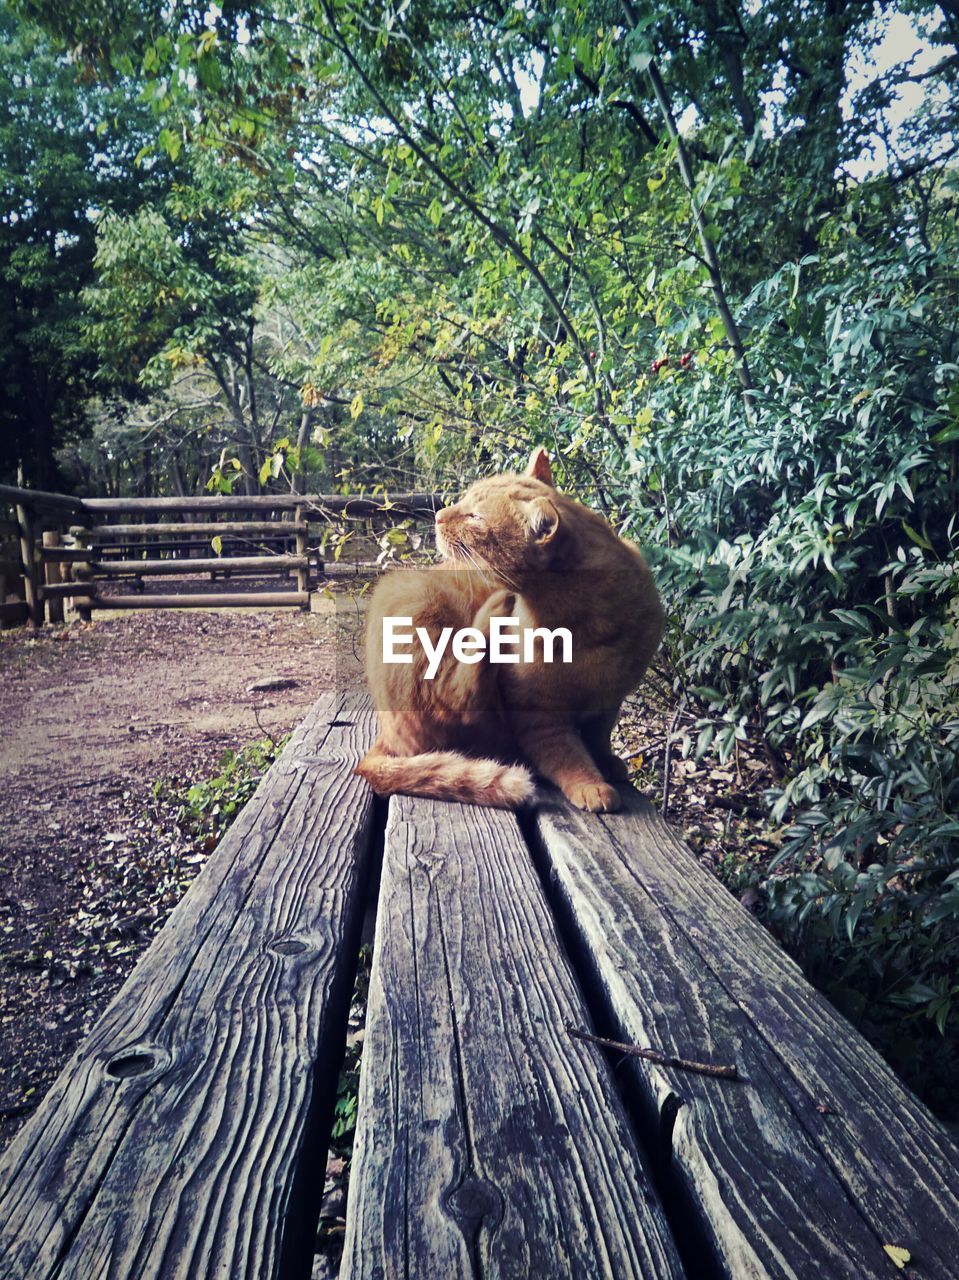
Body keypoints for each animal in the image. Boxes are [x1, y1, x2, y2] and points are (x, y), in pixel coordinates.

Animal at [355, 450, 660, 808]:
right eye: (464, 502)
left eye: (475, 516)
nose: (440, 516)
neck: (587, 623)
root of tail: (383, 738)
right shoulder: (537, 714)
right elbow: (566, 756)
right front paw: (591, 784)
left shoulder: (608, 702)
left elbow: (598, 740)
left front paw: (607, 763)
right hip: (413, 602)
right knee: (453, 698)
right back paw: (493, 612)